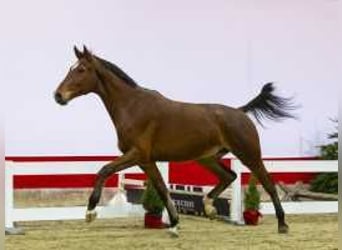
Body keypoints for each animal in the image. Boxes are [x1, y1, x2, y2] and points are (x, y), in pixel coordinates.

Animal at [54, 46, 296, 235]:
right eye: (70, 69)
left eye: (81, 69)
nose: (58, 95)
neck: (132, 107)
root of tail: (240, 112)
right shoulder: (145, 161)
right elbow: (162, 189)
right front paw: (174, 224)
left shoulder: (137, 154)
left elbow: (104, 169)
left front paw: (90, 212)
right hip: (207, 158)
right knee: (229, 176)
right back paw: (209, 208)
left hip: (249, 154)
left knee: (267, 183)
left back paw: (282, 224)